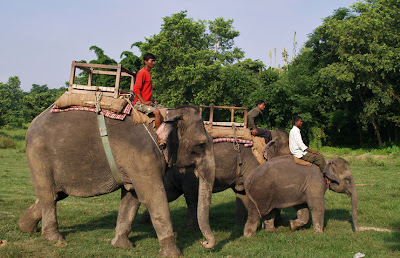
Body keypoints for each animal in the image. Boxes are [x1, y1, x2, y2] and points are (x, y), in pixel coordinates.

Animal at [17, 105, 216, 256]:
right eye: (201, 145)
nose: (205, 244)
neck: (163, 115)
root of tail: (34, 121)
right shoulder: (143, 157)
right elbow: (154, 197)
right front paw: (174, 254)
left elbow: (132, 197)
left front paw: (122, 246)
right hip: (39, 156)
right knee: (49, 195)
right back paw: (54, 238)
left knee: (57, 194)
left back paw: (25, 228)